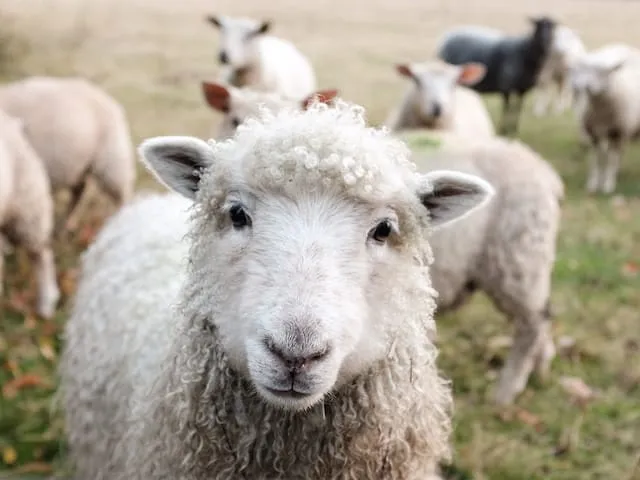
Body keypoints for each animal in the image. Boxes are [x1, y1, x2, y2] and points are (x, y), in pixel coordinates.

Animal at [0, 76, 136, 234]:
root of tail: (109, 100)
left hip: (111, 161)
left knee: (122, 194)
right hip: (79, 164)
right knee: (79, 190)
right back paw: (68, 223)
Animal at [569, 44, 640, 194]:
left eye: (603, 73)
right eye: (583, 70)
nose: (585, 86)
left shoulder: (617, 132)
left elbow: (611, 159)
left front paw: (608, 185)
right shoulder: (593, 134)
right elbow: (596, 159)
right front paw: (593, 184)